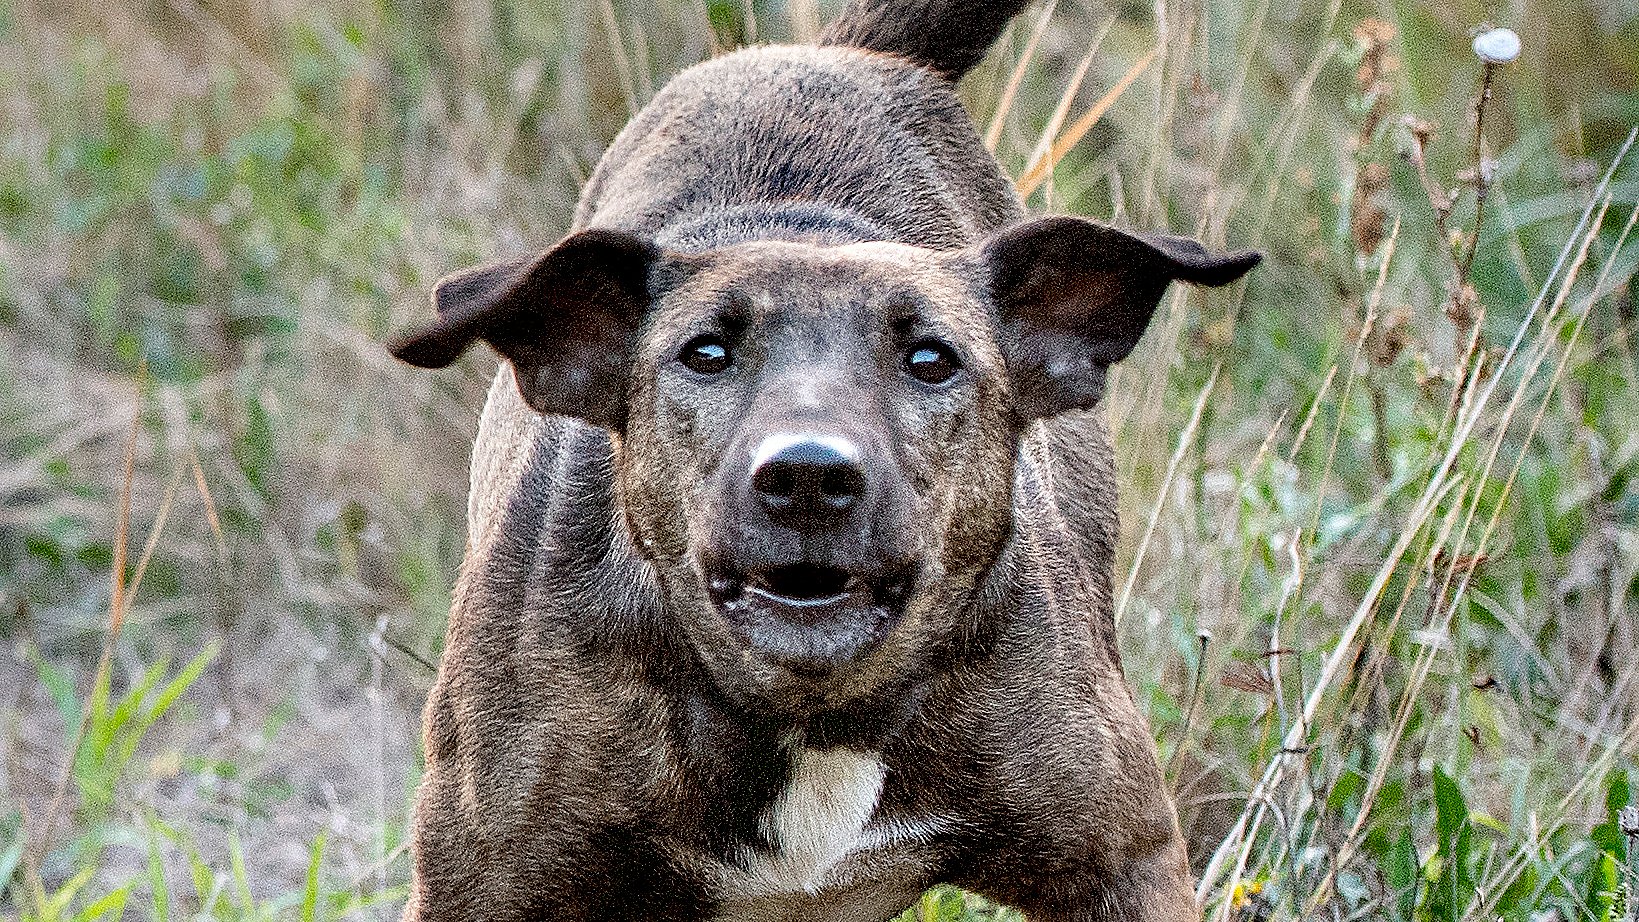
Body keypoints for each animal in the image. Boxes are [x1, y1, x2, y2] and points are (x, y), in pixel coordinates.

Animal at [390, 3, 1258, 917]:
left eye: (931, 359)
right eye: (704, 354)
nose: (807, 475)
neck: (814, 716)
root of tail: (838, 55)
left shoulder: (1123, 858)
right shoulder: (484, 879)